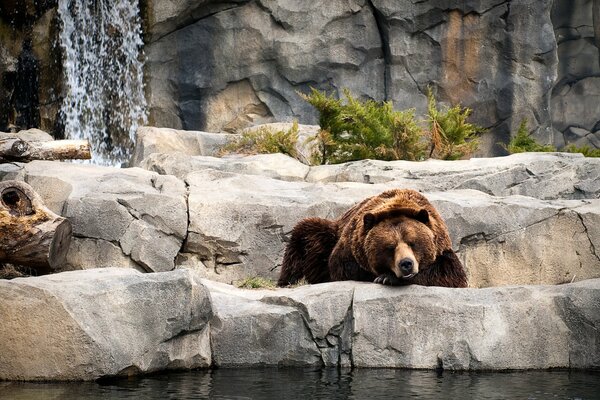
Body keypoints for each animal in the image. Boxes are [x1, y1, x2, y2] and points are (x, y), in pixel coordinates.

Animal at [278, 188, 468, 288]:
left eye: (413, 243)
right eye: (390, 247)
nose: (406, 264)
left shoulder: (442, 248)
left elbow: (449, 274)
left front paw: (388, 277)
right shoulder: (350, 248)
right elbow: (344, 268)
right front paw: (384, 276)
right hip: (326, 234)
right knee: (305, 236)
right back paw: (288, 281)